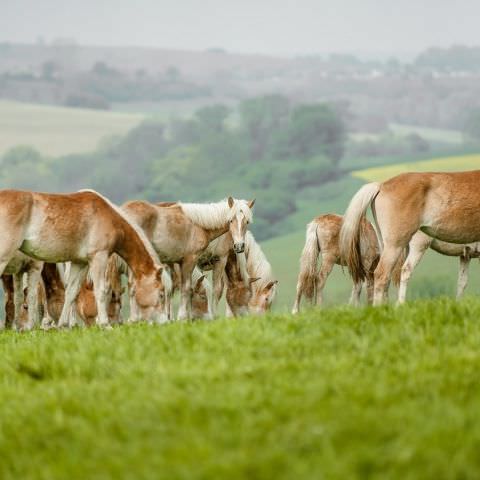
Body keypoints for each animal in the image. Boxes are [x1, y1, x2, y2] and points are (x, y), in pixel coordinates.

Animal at [0, 189, 169, 328]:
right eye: (161, 294)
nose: (164, 322)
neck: (108, 216)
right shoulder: (99, 258)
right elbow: (101, 291)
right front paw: (105, 325)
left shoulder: (80, 263)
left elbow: (71, 292)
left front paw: (63, 325)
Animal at [123, 197, 255, 320]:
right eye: (230, 220)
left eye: (247, 222)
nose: (239, 246)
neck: (199, 224)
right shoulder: (203, 259)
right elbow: (192, 288)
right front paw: (186, 317)